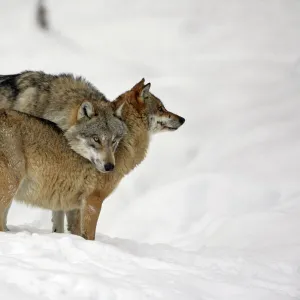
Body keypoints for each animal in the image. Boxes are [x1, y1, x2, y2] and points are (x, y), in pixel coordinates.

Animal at [0, 79, 184, 239]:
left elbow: (66, 231)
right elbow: (89, 236)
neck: (124, 147)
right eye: (161, 108)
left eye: (114, 141)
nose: (182, 119)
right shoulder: (93, 201)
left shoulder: (69, 205)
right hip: (10, 187)